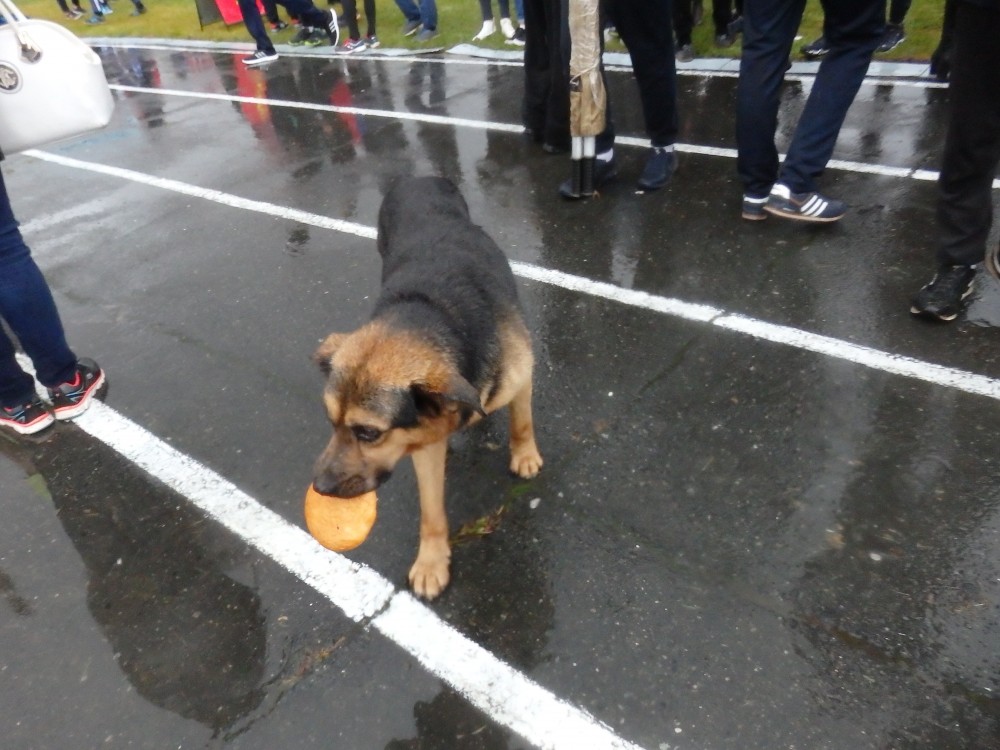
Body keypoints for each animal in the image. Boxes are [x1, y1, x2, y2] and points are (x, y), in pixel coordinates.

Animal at [312, 176, 543, 600]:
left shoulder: (522, 376)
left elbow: (521, 422)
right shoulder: (421, 443)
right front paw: (432, 562)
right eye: (331, 422)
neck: (431, 314)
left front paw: (525, 457)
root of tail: (418, 178)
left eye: (369, 433)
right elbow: (430, 511)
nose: (319, 488)